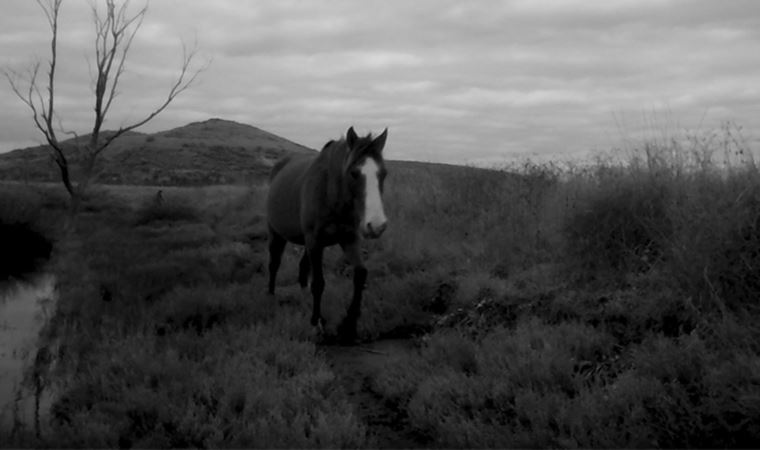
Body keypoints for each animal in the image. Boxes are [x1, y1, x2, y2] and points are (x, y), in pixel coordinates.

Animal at [266, 125, 388, 342]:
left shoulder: (349, 239)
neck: (330, 194)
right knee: (274, 264)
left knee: (303, 268)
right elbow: (319, 283)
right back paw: (271, 296)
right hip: (277, 234)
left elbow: (360, 274)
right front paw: (316, 322)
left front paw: (349, 325)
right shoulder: (315, 241)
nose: (376, 226)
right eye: (354, 173)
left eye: (383, 174)